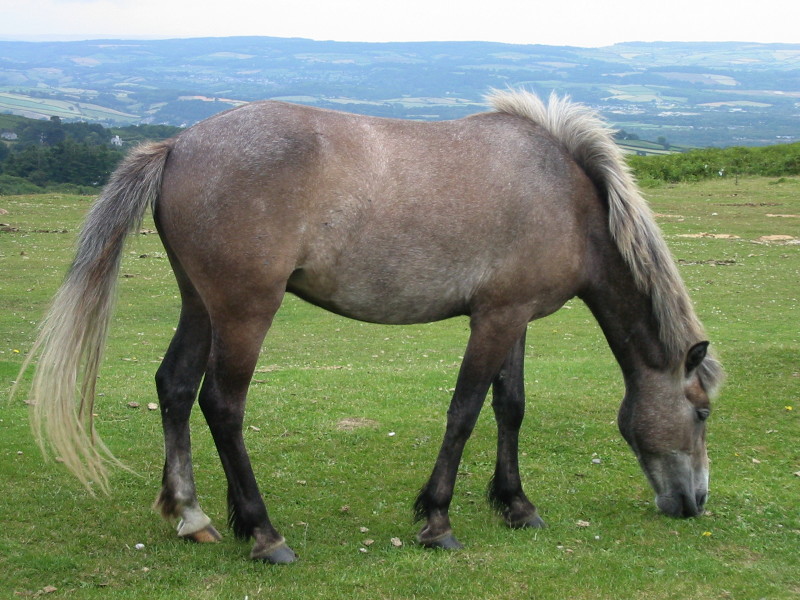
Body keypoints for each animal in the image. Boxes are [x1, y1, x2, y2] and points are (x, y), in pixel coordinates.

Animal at [20, 90, 720, 564]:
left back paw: (191, 516)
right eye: (702, 411)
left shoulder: (514, 316)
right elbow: (464, 412)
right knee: (221, 404)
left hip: (200, 304)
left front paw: (516, 505)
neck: (567, 199)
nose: (696, 503)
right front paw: (437, 520)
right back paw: (264, 533)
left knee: (173, 387)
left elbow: (510, 407)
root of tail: (178, 146)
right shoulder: (494, 320)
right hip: (245, 311)